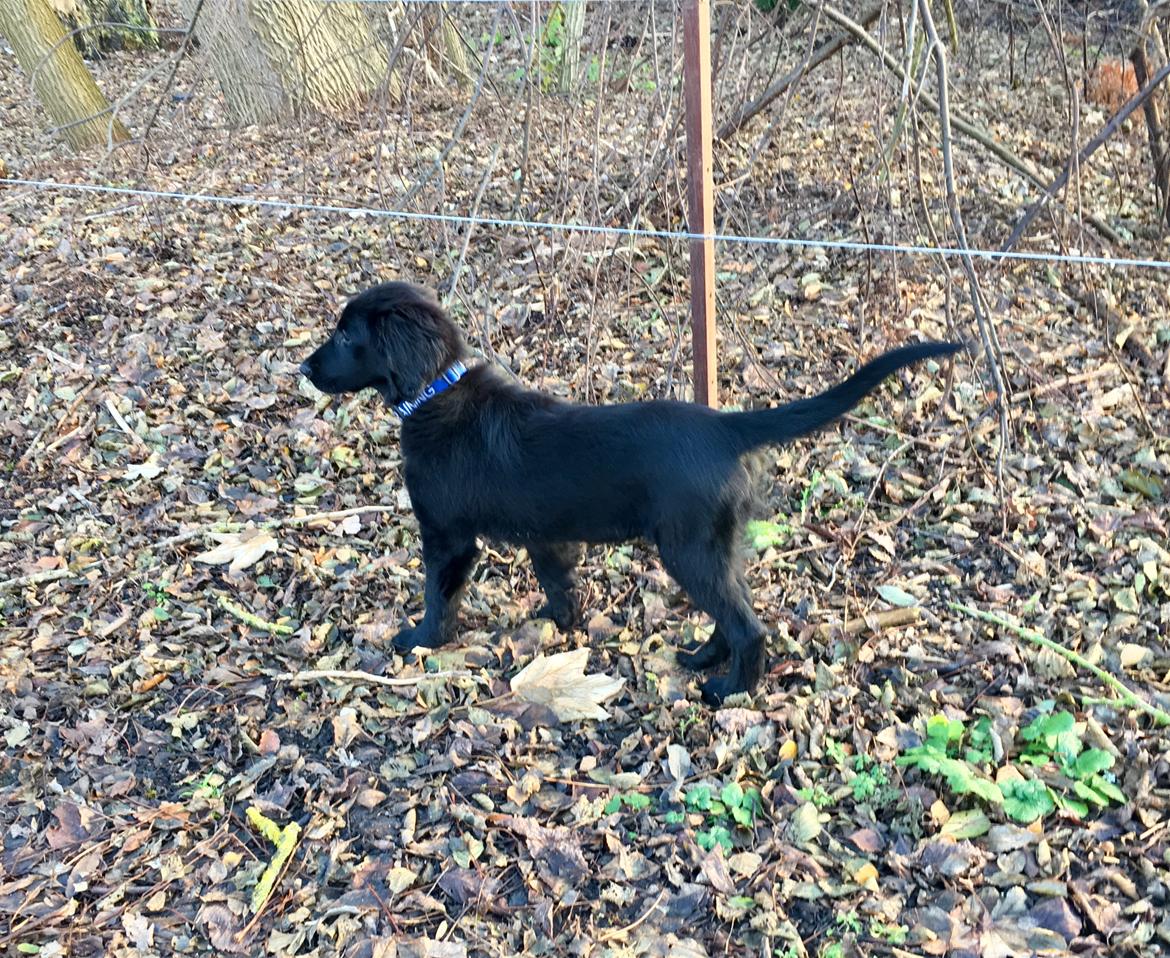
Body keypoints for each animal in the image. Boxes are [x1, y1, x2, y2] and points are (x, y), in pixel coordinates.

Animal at [304, 280, 959, 701]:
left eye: (345, 337)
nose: (304, 370)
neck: (434, 390)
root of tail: (724, 426)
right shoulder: (546, 536)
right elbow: (560, 584)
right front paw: (563, 626)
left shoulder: (447, 535)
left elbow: (439, 596)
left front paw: (418, 642)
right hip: (715, 544)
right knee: (734, 609)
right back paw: (703, 658)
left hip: (687, 546)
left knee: (749, 626)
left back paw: (729, 689)